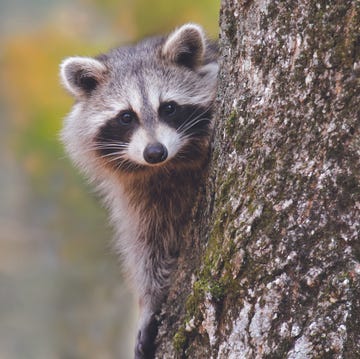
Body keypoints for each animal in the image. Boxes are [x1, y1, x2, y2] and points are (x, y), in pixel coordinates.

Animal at [59, 23, 217, 358]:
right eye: (126, 116)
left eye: (168, 108)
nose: (155, 152)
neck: (166, 168)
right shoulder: (137, 194)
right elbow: (147, 242)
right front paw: (150, 300)